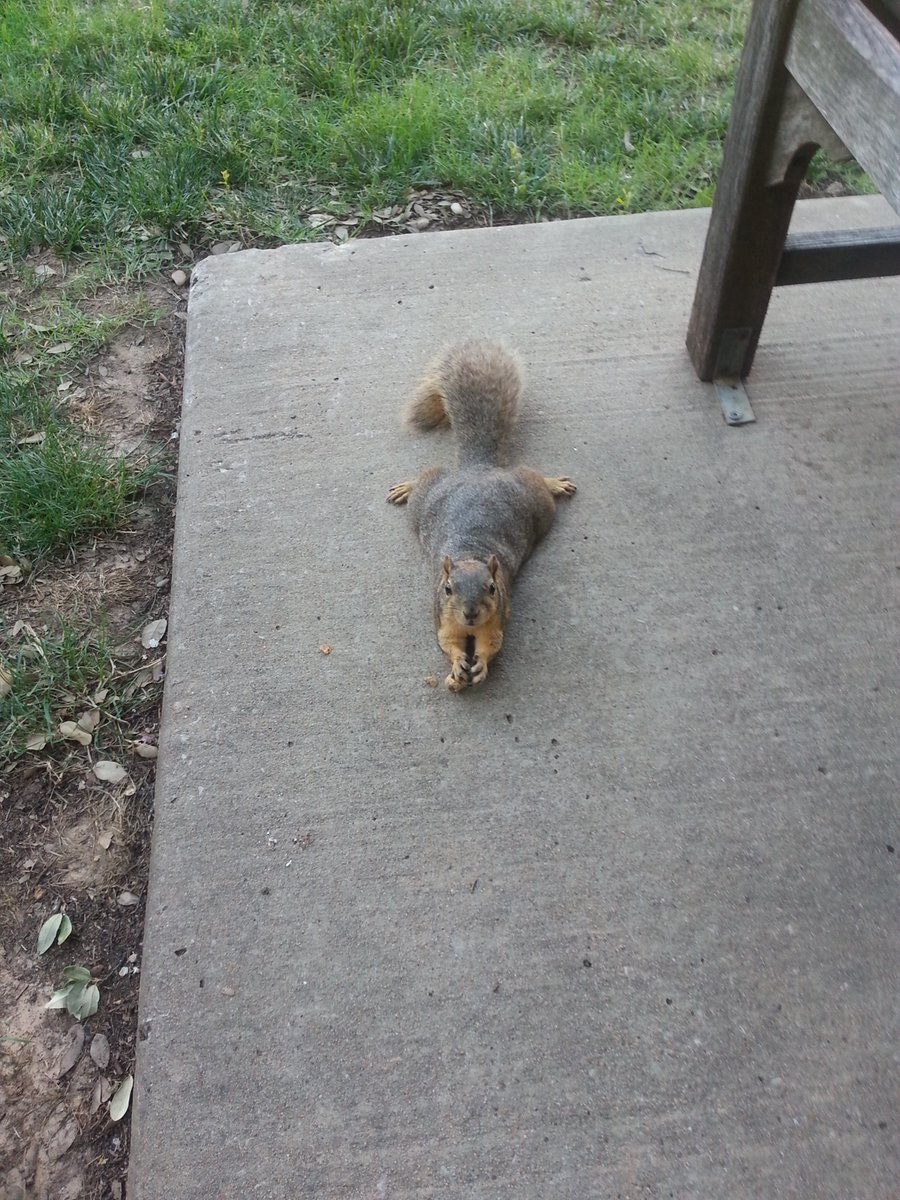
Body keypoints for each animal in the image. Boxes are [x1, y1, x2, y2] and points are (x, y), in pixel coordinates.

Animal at [387, 339, 576, 691]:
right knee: (425, 476)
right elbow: (448, 643)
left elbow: (493, 644)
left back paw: (554, 483)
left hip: (538, 504)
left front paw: (481, 666)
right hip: (426, 497)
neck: (470, 552)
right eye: (448, 588)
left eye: (491, 587)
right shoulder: (443, 618)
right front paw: (457, 667)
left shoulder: (498, 617)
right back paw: (407, 486)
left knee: (534, 477)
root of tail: (478, 467)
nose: (471, 613)